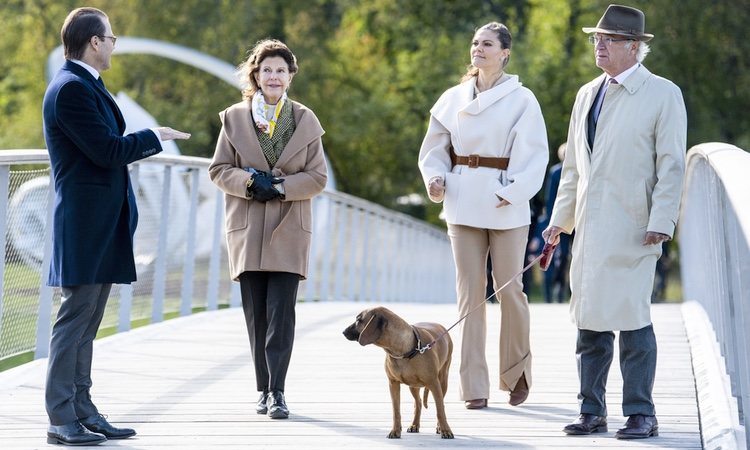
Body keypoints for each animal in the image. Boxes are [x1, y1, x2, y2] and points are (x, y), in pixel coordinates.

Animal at [344, 308, 456, 438]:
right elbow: (396, 411)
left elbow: (440, 410)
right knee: (418, 403)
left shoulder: (434, 383)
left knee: (440, 403)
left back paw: (439, 427)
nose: (343, 332)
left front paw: (446, 430)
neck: (404, 350)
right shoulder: (393, 384)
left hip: (442, 380)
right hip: (414, 386)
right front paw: (395, 431)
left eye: (358, 320)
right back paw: (414, 425)